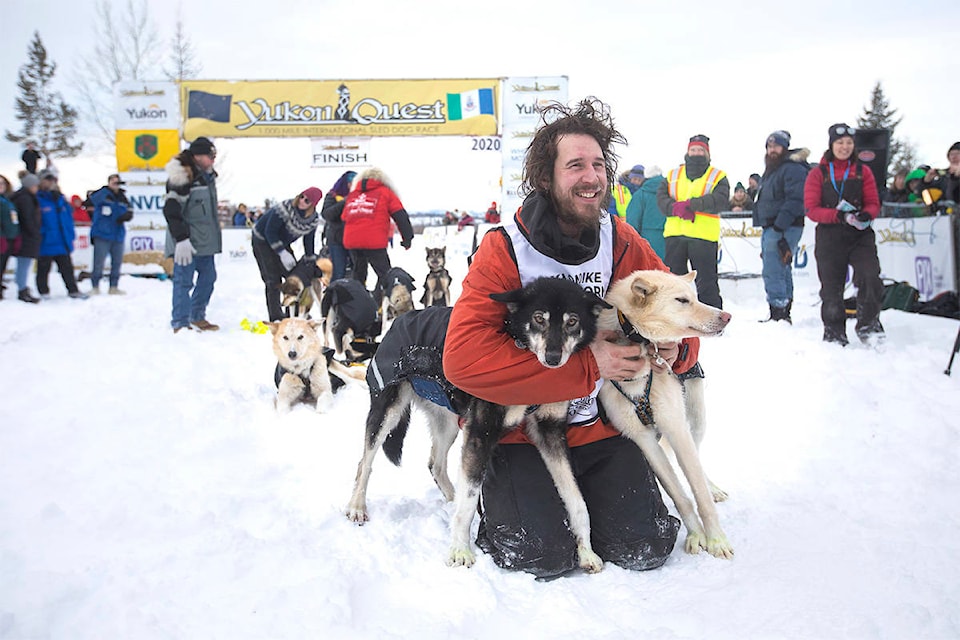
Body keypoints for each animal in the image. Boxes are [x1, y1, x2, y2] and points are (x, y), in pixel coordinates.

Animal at [600, 270, 736, 560]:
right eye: (682, 300)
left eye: (696, 297)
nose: (727, 316)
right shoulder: (642, 438)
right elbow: (680, 495)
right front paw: (696, 534)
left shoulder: (675, 427)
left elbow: (699, 494)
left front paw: (716, 539)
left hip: (695, 419)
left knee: (698, 458)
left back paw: (712, 487)